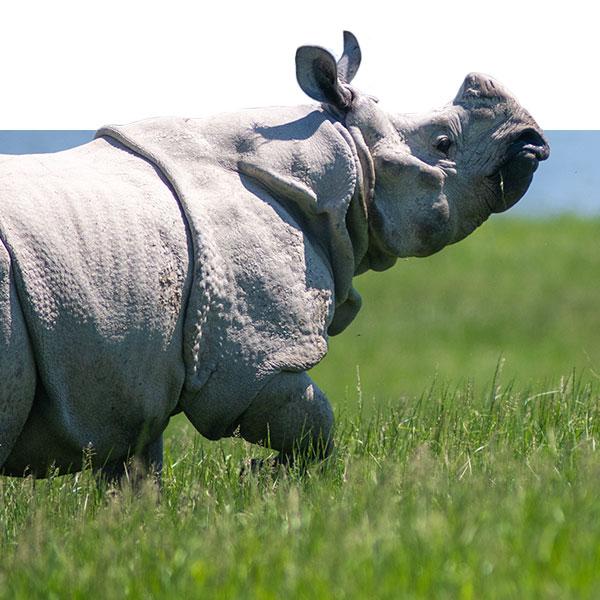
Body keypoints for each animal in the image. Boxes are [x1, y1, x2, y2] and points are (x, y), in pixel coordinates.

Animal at [0, 32, 548, 478]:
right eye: (443, 143)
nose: (533, 142)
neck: (349, 166)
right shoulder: (252, 359)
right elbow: (312, 424)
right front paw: (266, 476)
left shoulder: (132, 377)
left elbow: (136, 472)